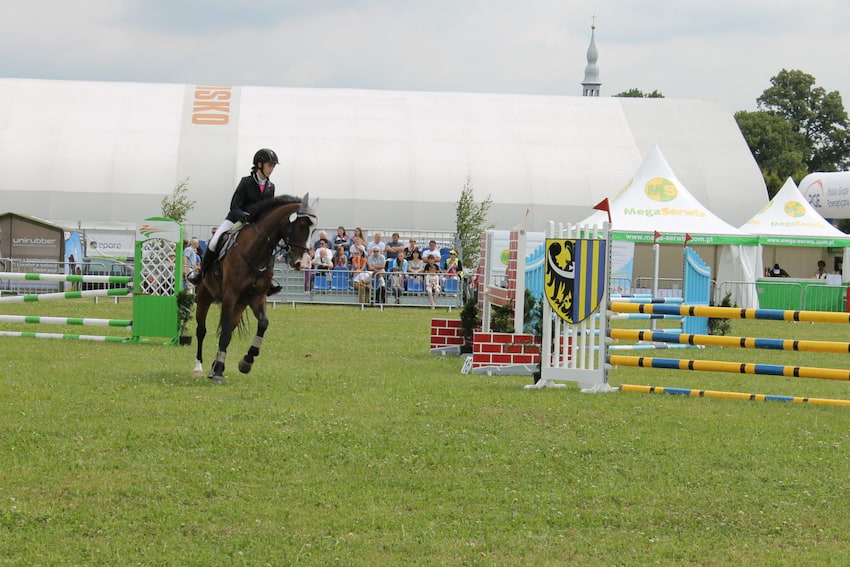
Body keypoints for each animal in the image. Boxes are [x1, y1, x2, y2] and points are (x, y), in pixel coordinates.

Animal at [190, 193, 316, 384]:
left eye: (314, 230)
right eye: (301, 225)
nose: (301, 263)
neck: (256, 251)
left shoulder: (257, 297)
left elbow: (262, 324)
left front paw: (246, 362)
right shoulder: (230, 296)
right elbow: (224, 331)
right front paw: (218, 371)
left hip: (240, 305)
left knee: (229, 328)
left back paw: (215, 366)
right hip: (204, 297)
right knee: (201, 331)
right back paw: (199, 367)